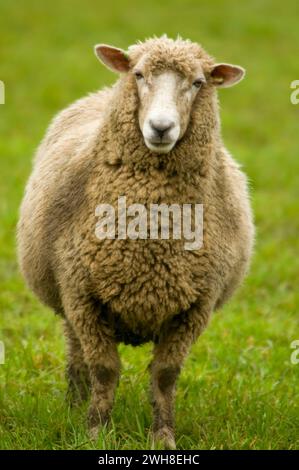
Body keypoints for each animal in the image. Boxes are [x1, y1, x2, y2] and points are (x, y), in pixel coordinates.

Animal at [17, 36, 255, 448]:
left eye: (198, 83)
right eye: (139, 75)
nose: (160, 127)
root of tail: (99, 93)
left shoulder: (196, 305)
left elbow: (165, 375)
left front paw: (163, 436)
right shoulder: (82, 294)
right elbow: (104, 369)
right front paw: (95, 431)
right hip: (69, 300)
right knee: (77, 353)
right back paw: (74, 405)